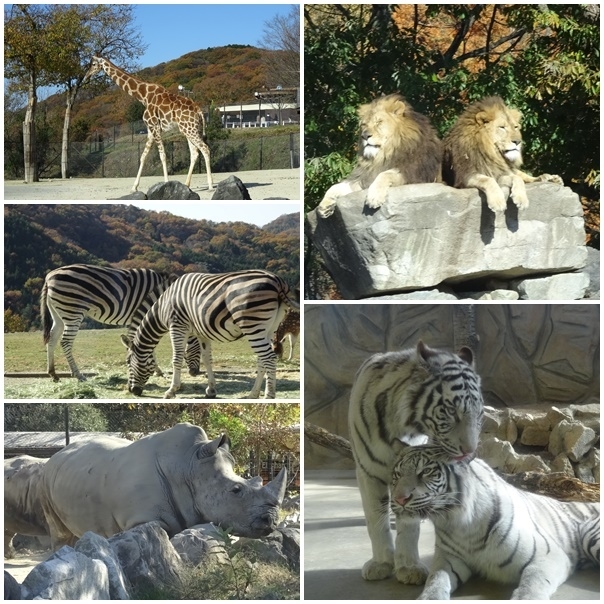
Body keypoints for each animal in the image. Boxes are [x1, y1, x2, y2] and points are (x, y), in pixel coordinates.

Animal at [40, 266, 176, 380]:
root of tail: (49, 277)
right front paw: (157, 370)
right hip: (72, 311)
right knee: (65, 342)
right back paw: (78, 375)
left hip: (58, 314)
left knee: (52, 339)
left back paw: (53, 373)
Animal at [85, 57, 212, 191]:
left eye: (93, 64)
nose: (86, 77)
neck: (143, 96)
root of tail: (199, 111)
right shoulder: (150, 130)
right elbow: (143, 156)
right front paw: (134, 186)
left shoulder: (154, 127)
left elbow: (162, 155)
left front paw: (166, 183)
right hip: (189, 130)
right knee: (194, 153)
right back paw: (186, 184)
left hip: (190, 130)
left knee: (205, 148)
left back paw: (210, 184)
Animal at [122, 270, 300, 402]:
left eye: (128, 362)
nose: (132, 391)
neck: (162, 308)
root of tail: (277, 281)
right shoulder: (202, 333)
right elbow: (207, 359)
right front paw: (211, 390)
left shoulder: (177, 327)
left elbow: (176, 359)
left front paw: (171, 391)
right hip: (268, 329)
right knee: (262, 360)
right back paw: (253, 394)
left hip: (253, 326)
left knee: (269, 358)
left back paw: (269, 396)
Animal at [350, 344, 482, 584]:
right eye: (451, 411)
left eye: (478, 412)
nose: (469, 451)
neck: (400, 424)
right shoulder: (368, 472)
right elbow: (375, 519)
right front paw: (381, 564)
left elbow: (409, 522)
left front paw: (408, 567)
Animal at [390, 444, 600, 600]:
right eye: (397, 474)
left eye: (426, 471)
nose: (399, 499)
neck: (459, 523)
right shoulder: (448, 559)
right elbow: (436, 580)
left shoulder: (548, 555)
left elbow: (532, 583)